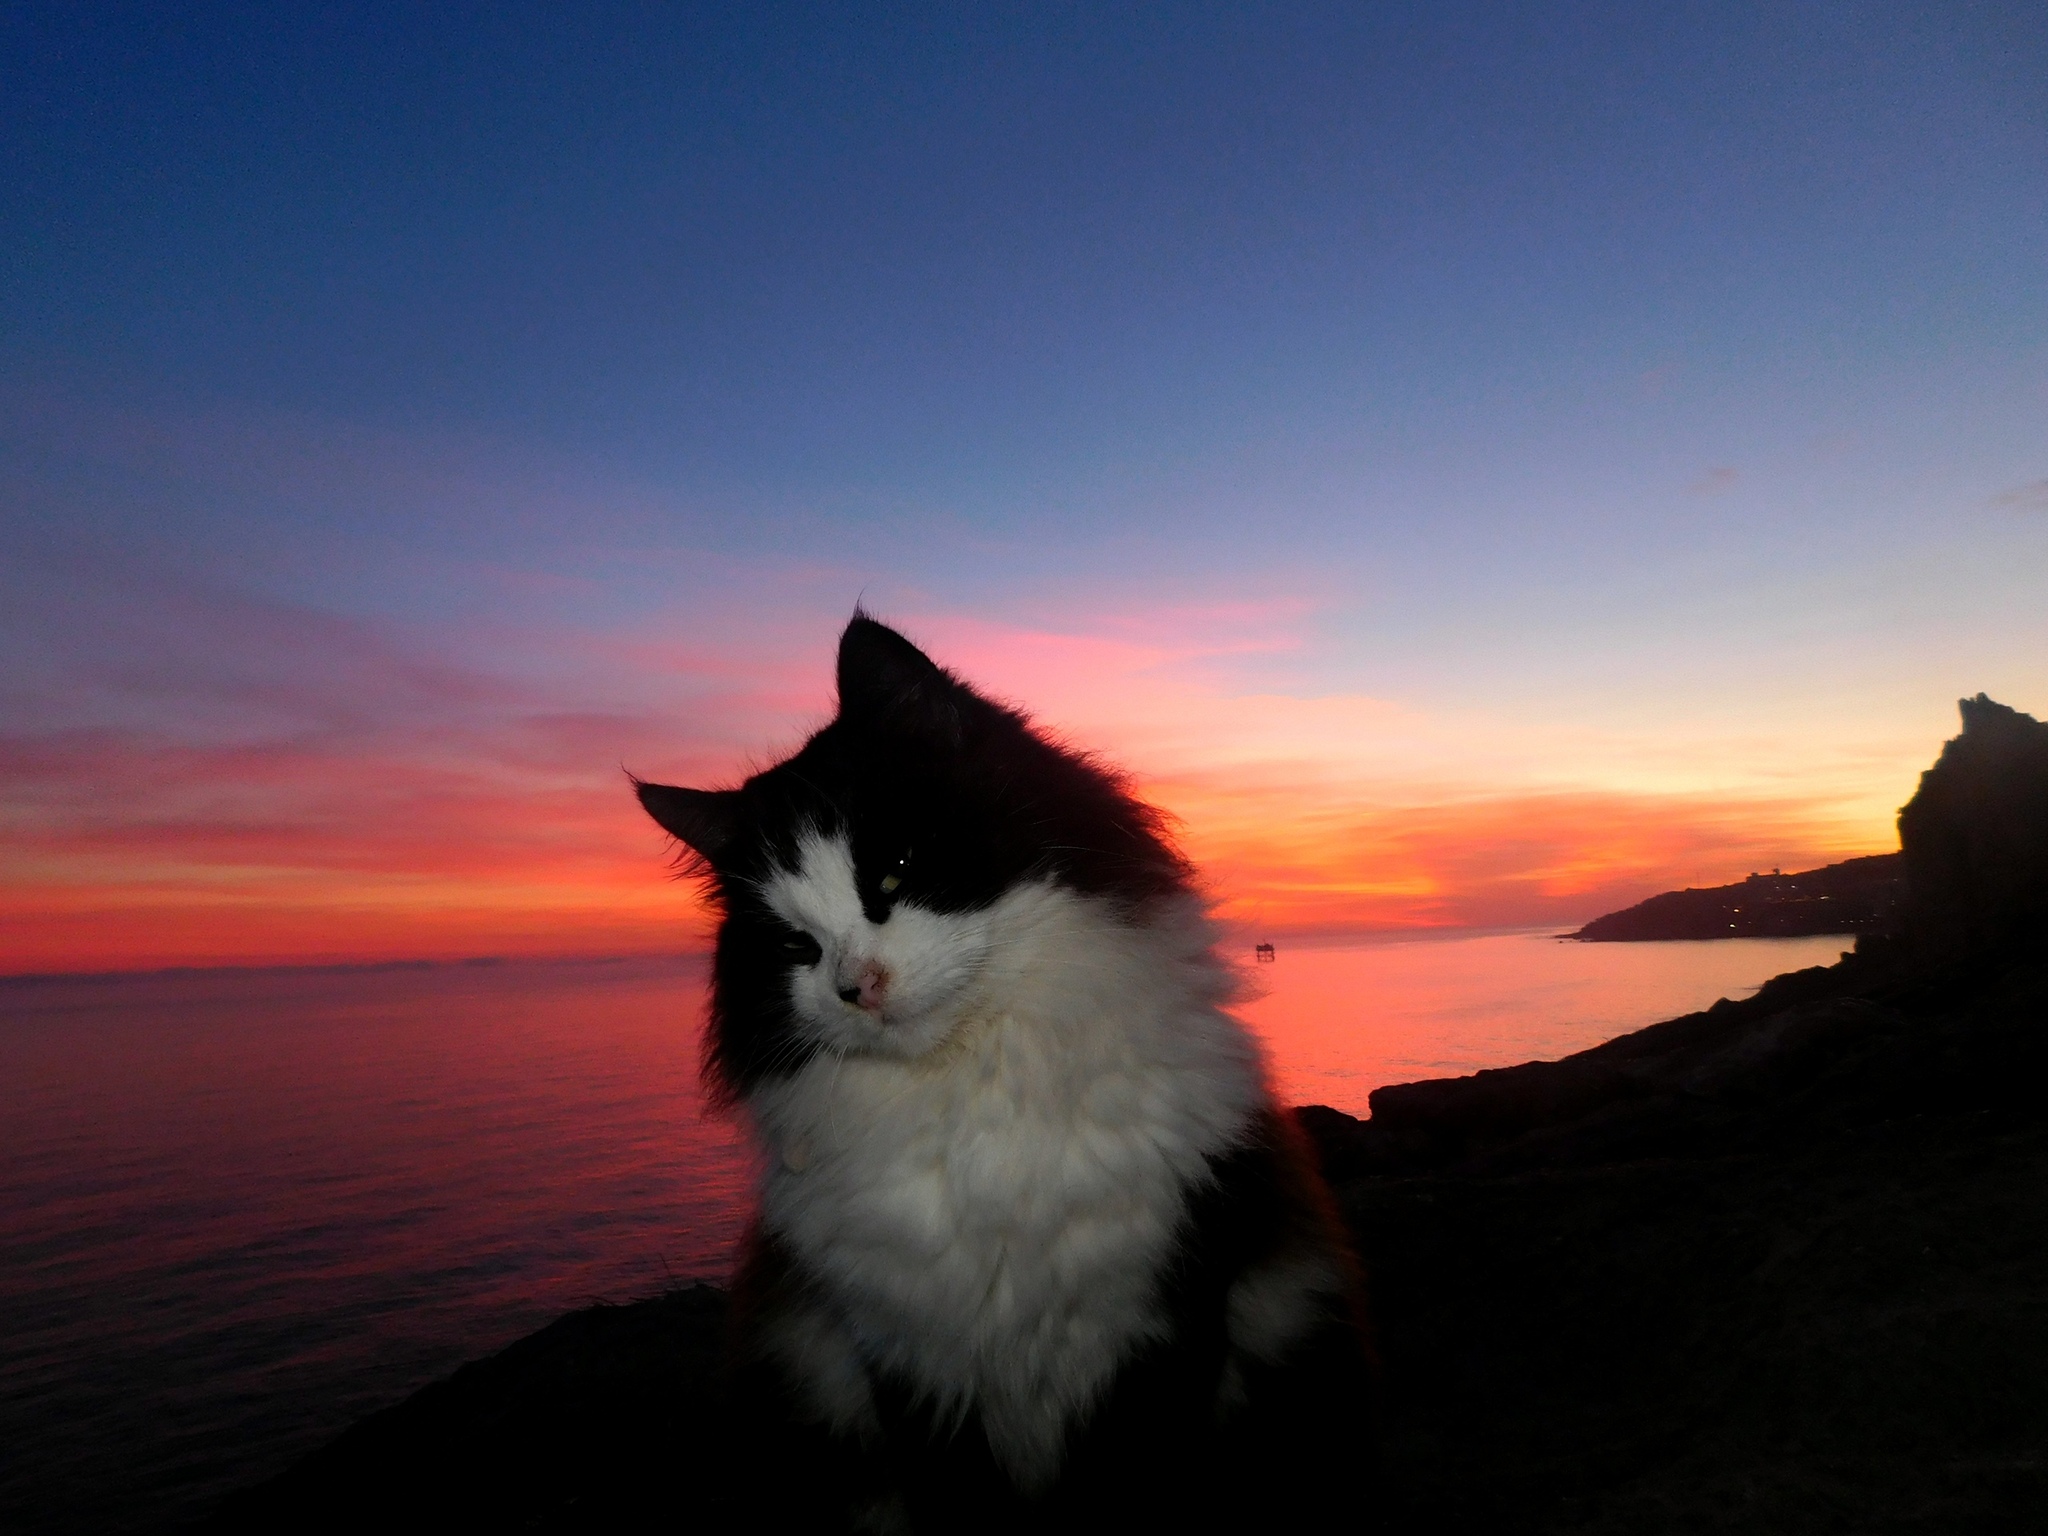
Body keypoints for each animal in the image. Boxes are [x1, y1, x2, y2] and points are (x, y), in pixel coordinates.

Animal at [634, 618, 1376, 1531]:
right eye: (794, 946)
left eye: (893, 874)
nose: (857, 987)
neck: (973, 1092)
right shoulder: (906, 1361)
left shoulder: (1166, 1319)